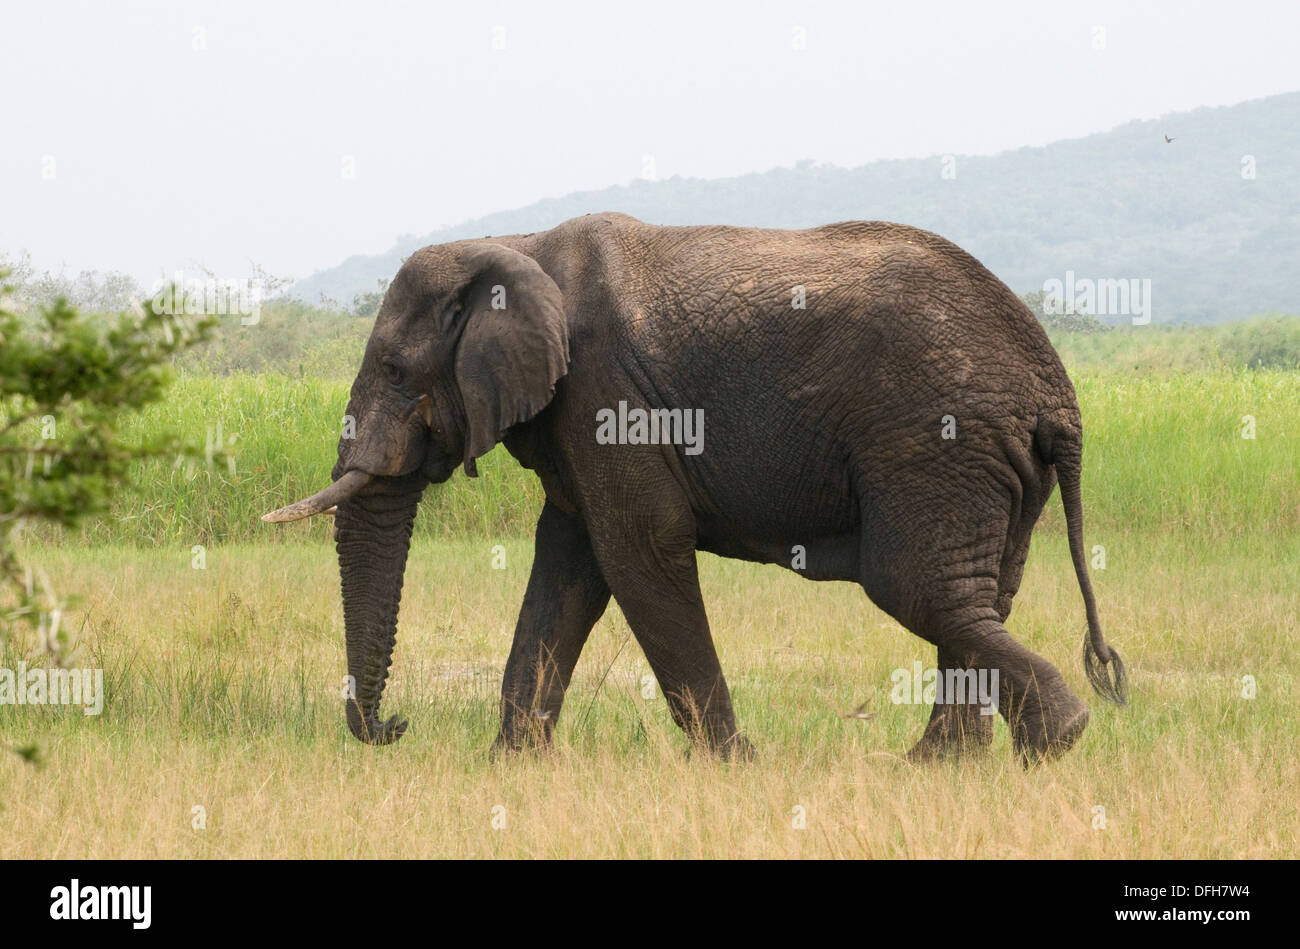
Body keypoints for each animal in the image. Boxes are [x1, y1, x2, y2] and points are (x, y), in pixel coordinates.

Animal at [263, 210, 1128, 759]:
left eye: (394, 369)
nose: (395, 727)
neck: (512, 244)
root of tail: (1057, 396)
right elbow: (570, 565)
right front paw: (513, 765)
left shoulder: (607, 392)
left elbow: (639, 551)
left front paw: (734, 763)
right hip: (984, 463)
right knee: (975, 598)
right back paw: (949, 763)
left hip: (936, 442)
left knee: (918, 588)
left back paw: (1055, 740)